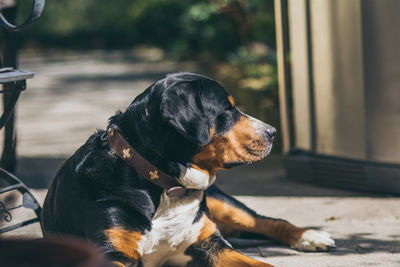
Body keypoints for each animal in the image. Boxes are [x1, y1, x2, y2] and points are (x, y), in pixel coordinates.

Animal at [40, 72, 334, 266]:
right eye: (226, 109)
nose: (273, 132)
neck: (166, 187)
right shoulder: (113, 254)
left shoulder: (210, 244)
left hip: (222, 203)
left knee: (266, 221)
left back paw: (310, 235)